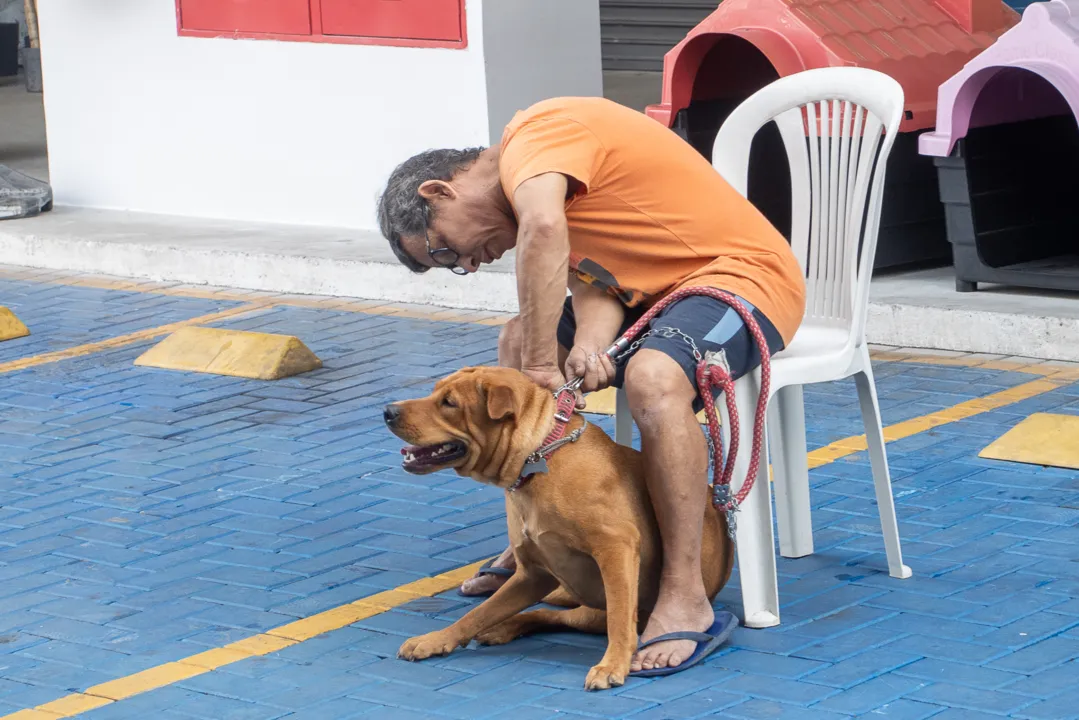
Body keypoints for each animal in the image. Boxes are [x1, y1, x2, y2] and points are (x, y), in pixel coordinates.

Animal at [381, 369, 733, 690]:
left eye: (449, 403)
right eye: (434, 392)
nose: (388, 411)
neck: (538, 458)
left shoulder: (615, 547)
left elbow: (620, 621)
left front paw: (612, 664)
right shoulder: (533, 574)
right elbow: (478, 614)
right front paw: (436, 639)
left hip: (595, 607)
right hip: (578, 603)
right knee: (546, 615)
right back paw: (503, 627)